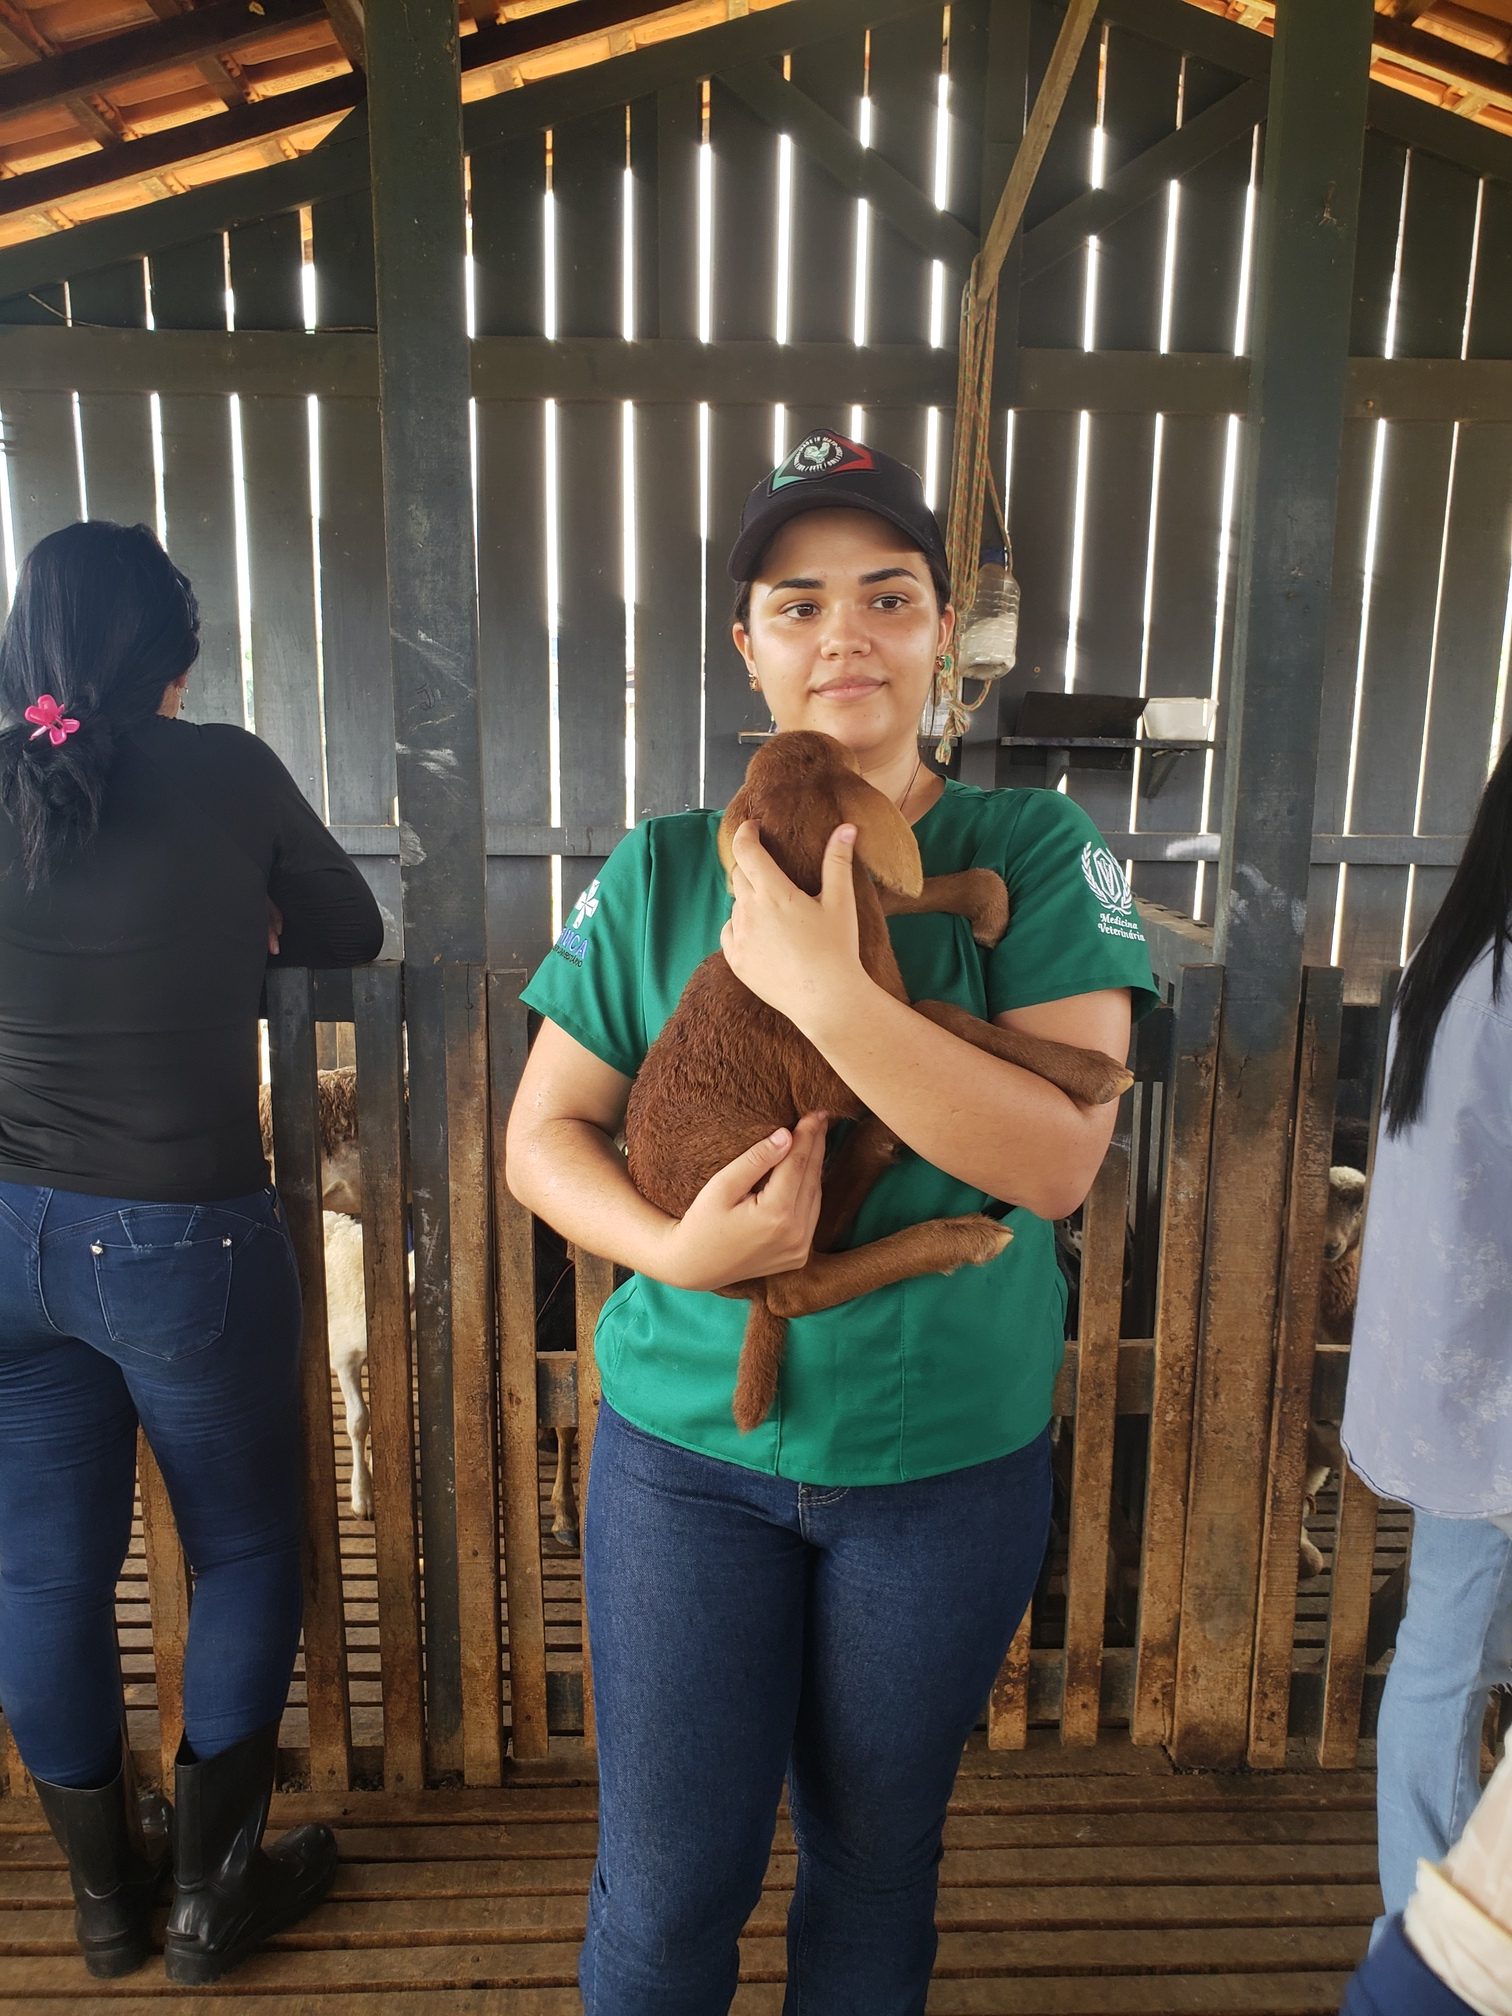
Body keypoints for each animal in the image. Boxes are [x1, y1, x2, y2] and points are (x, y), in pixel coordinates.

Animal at [622, 729, 1133, 1433]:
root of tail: (729, 1283)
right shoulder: (838, 1066)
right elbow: (940, 1012)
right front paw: (1092, 1071)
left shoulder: (858, 899)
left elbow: (899, 891)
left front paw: (987, 904)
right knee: (799, 1285)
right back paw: (954, 1236)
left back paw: (879, 1150)